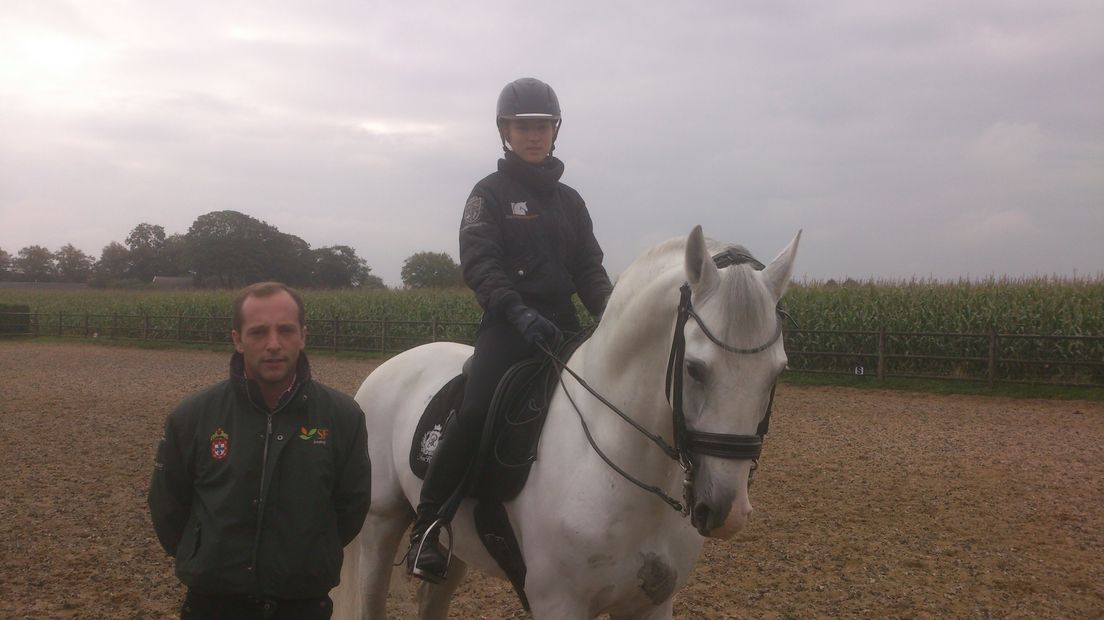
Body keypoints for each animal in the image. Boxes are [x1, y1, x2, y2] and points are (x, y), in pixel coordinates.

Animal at [331, 223, 799, 613]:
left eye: (778, 371)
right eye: (695, 368)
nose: (727, 510)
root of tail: (389, 366)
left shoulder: (651, 604)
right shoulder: (559, 603)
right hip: (380, 525)